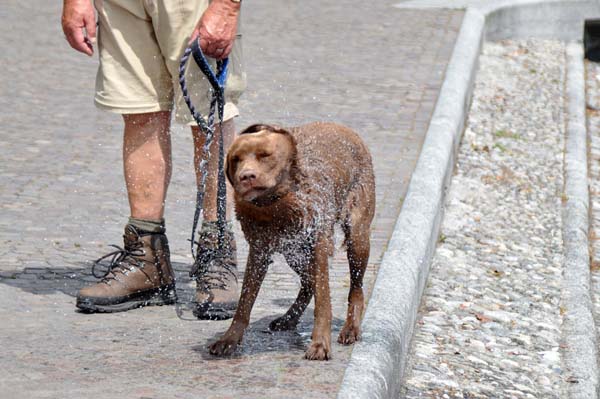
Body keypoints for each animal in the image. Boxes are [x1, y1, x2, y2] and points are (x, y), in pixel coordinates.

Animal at [209, 122, 372, 362]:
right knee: (307, 284)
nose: (246, 176)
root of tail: (345, 128)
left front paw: (320, 344)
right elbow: (244, 302)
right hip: (294, 251)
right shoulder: (259, 251)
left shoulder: (318, 245)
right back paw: (289, 318)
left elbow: (323, 301)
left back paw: (351, 328)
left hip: (357, 236)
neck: (275, 206)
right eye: (235, 159)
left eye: (265, 155)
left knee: (356, 287)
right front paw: (229, 339)